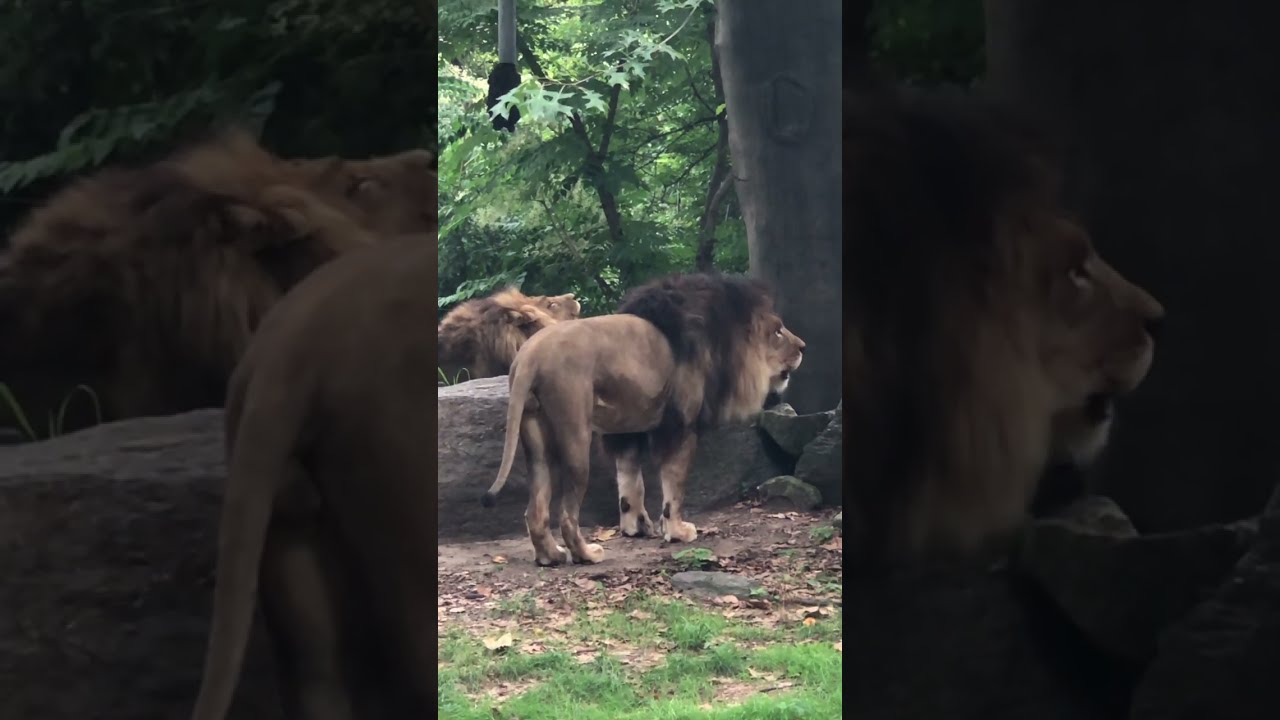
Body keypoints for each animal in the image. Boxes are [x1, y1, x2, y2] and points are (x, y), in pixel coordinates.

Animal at [480, 272, 806, 567]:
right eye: (778, 332)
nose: (803, 347)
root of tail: (529, 356)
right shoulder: (679, 426)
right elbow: (674, 484)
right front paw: (676, 531)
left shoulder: (627, 431)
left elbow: (630, 481)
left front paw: (635, 526)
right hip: (575, 436)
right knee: (567, 516)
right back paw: (586, 554)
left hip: (535, 439)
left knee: (535, 511)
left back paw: (551, 556)